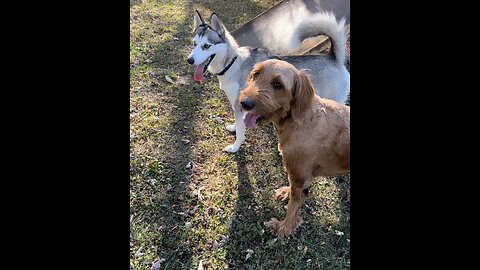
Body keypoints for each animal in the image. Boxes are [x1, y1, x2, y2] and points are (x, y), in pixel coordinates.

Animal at [187, 10, 348, 153]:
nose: (189, 60)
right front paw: (234, 127)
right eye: (194, 43)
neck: (232, 62)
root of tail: (333, 58)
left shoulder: (240, 104)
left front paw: (234, 148)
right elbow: (239, 124)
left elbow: (240, 132)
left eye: (206, 46)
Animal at [239, 59, 348, 238]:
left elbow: (292, 208)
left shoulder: (300, 179)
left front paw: (284, 228)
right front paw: (286, 192)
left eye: (278, 84)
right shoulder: (296, 175)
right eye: (256, 74)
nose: (244, 103)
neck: (300, 119)